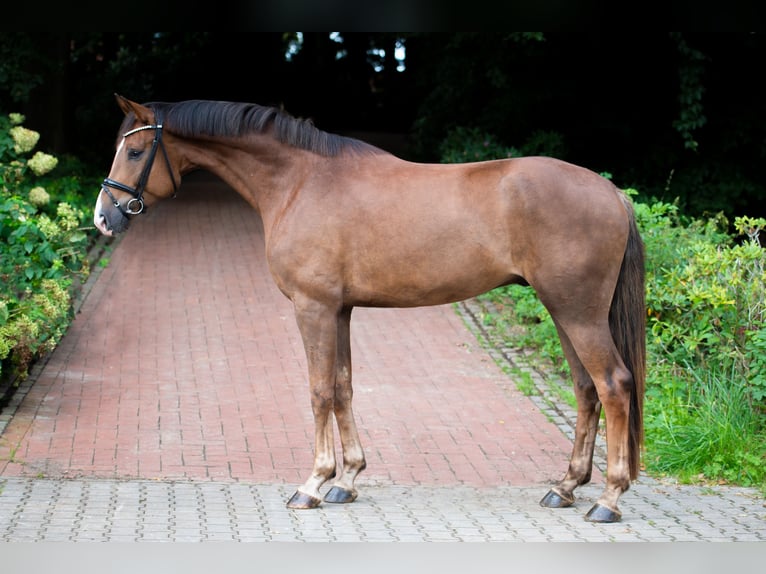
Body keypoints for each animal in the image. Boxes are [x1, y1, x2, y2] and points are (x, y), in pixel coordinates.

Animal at [94, 94, 648, 528]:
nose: (104, 218)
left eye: (136, 151)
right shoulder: (340, 311)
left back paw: (608, 498)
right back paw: (565, 487)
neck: (300, 182)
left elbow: (319, 391)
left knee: (614, 385)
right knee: (586, 390)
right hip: (565, 313)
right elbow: (343, 388)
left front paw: (313, 484)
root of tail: (612, 192)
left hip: (578, 315)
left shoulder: (313, 308)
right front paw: (348, 479)